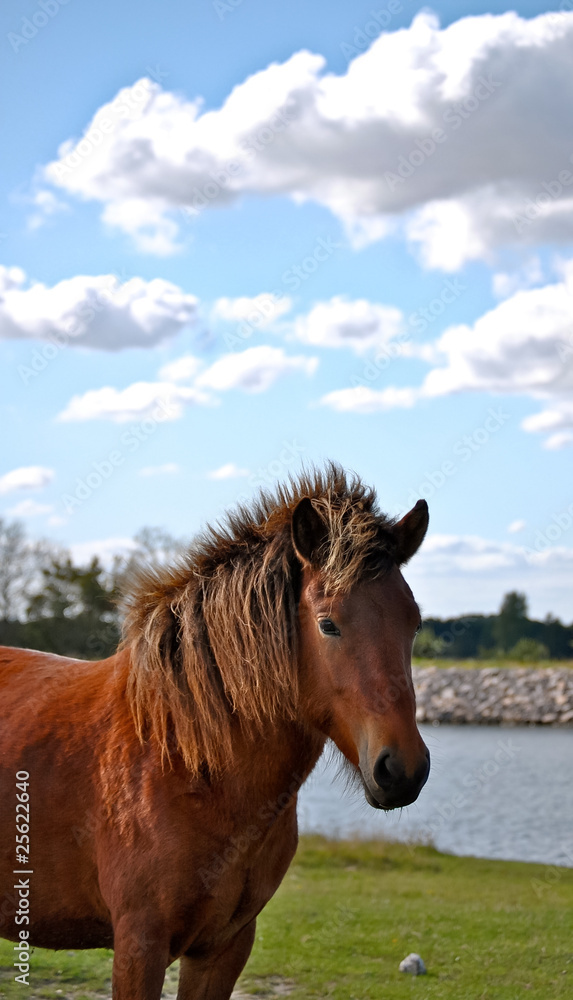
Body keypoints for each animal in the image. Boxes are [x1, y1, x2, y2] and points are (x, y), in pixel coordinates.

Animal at [0, 465, 430, 1000]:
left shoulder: (223, 947)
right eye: (328, 624)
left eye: (414, 623)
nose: (402, 769)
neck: (185, 760)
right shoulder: (139, 946)